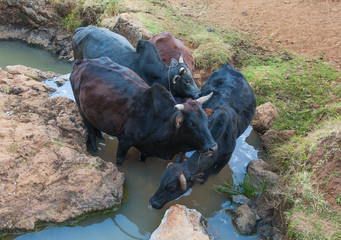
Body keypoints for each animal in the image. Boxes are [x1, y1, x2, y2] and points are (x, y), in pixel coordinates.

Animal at [70, 56, 216, 165]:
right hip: (81, 108)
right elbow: (119, 161)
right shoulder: (124, 141)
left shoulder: (146, 149)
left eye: (206, 120)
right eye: (192, 123)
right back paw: (95, 149)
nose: (213, 147)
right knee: (90, 131)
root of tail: (81, 62)